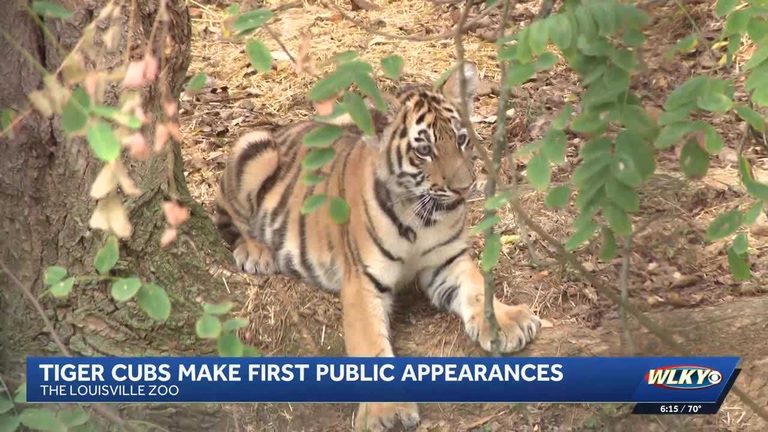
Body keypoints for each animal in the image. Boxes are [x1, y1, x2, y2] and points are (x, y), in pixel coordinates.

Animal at [215, 63, 542, 432]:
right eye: (424, 150)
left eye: (461, 139)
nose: (463, 188)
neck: (420, 218)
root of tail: (288, 127)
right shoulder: (363, 281)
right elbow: (370, 345)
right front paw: (387, 413)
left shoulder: (448, 260)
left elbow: (477, 287)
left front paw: (507, 321)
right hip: (253, 149)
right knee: (226, 211)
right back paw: (256, 251)